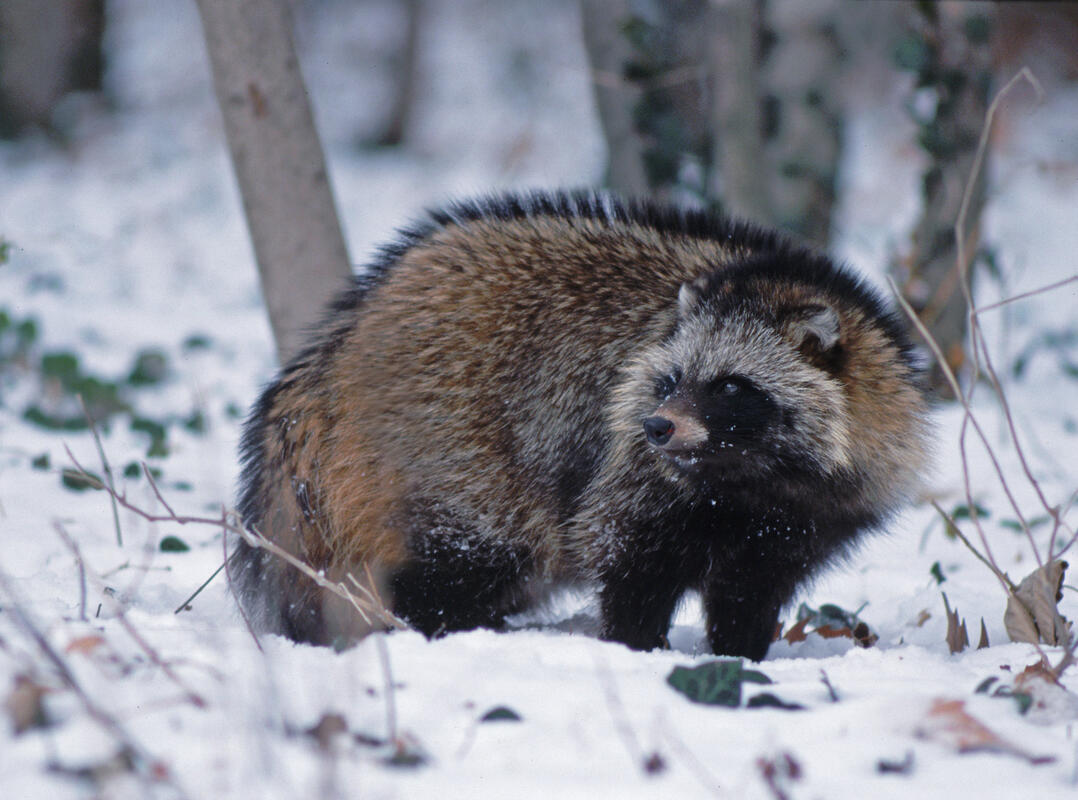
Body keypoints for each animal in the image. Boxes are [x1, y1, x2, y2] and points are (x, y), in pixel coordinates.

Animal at [232, 191, 930, 660]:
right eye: (672, 379)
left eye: (731, 386)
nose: (657, 427)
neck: (750, 477)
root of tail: (343, 340)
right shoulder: (632, 478)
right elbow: (625, 559)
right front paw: (636, 651)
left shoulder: (804, 521)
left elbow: (748, 593)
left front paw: (741, 653)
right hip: (455, 446)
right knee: (477, 555)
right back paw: (431, 631)